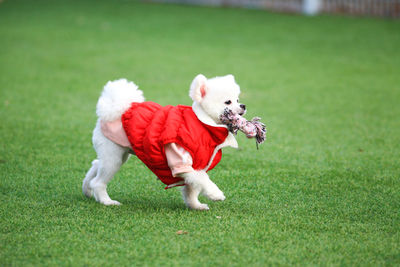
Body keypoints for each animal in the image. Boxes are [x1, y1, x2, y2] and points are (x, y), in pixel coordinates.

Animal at [82, 74, 245, 210]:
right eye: (228, 102)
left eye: (238, 100)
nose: (243, 106)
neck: (202, 123)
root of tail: (115, 108)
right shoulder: (181, 162)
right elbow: (202, 180)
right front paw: (215, 194)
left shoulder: (196, 166)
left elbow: (191, 189)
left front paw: (195, 205)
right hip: (113, 156)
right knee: (98, 181)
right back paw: (106, 201)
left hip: (118, 153)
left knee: (96, 164)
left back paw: (87, 190)